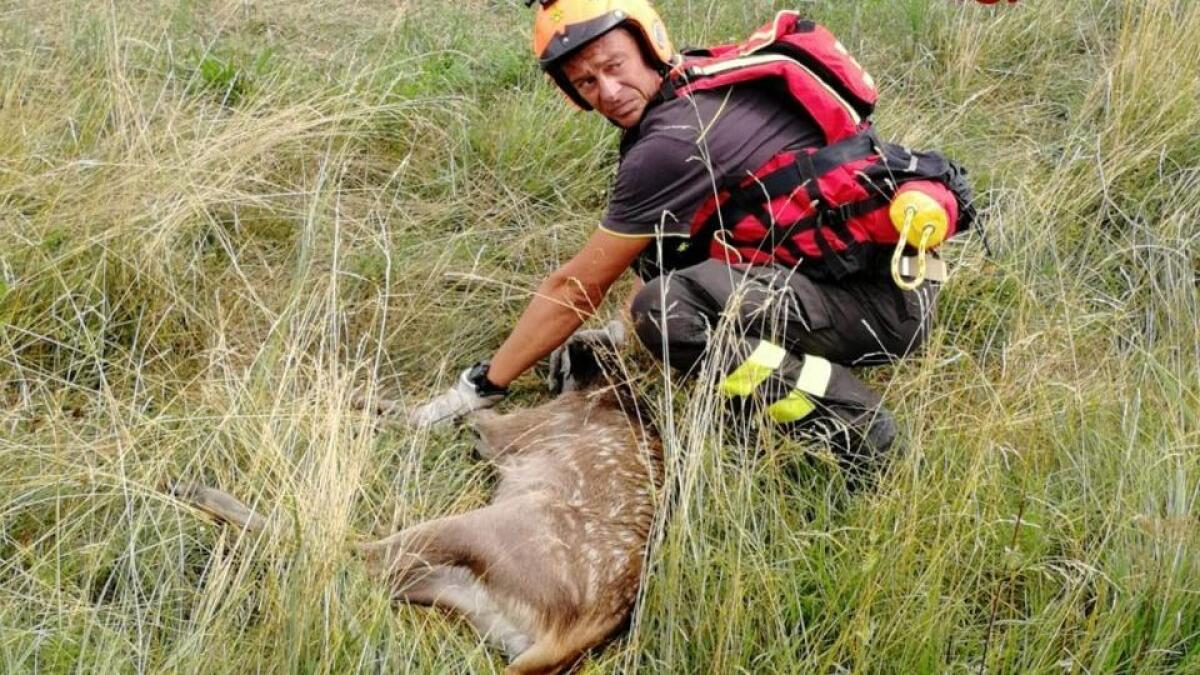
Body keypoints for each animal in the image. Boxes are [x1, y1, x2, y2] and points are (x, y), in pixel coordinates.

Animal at [169, 334, 663, 675]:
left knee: (353, 553)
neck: (610, 391)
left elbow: (452, 418)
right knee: (373, 571)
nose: (565, 348)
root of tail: (571, 637)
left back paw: (200, 494)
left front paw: (353, 395)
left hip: (494, 527)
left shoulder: (517, 432)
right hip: (460, 589)